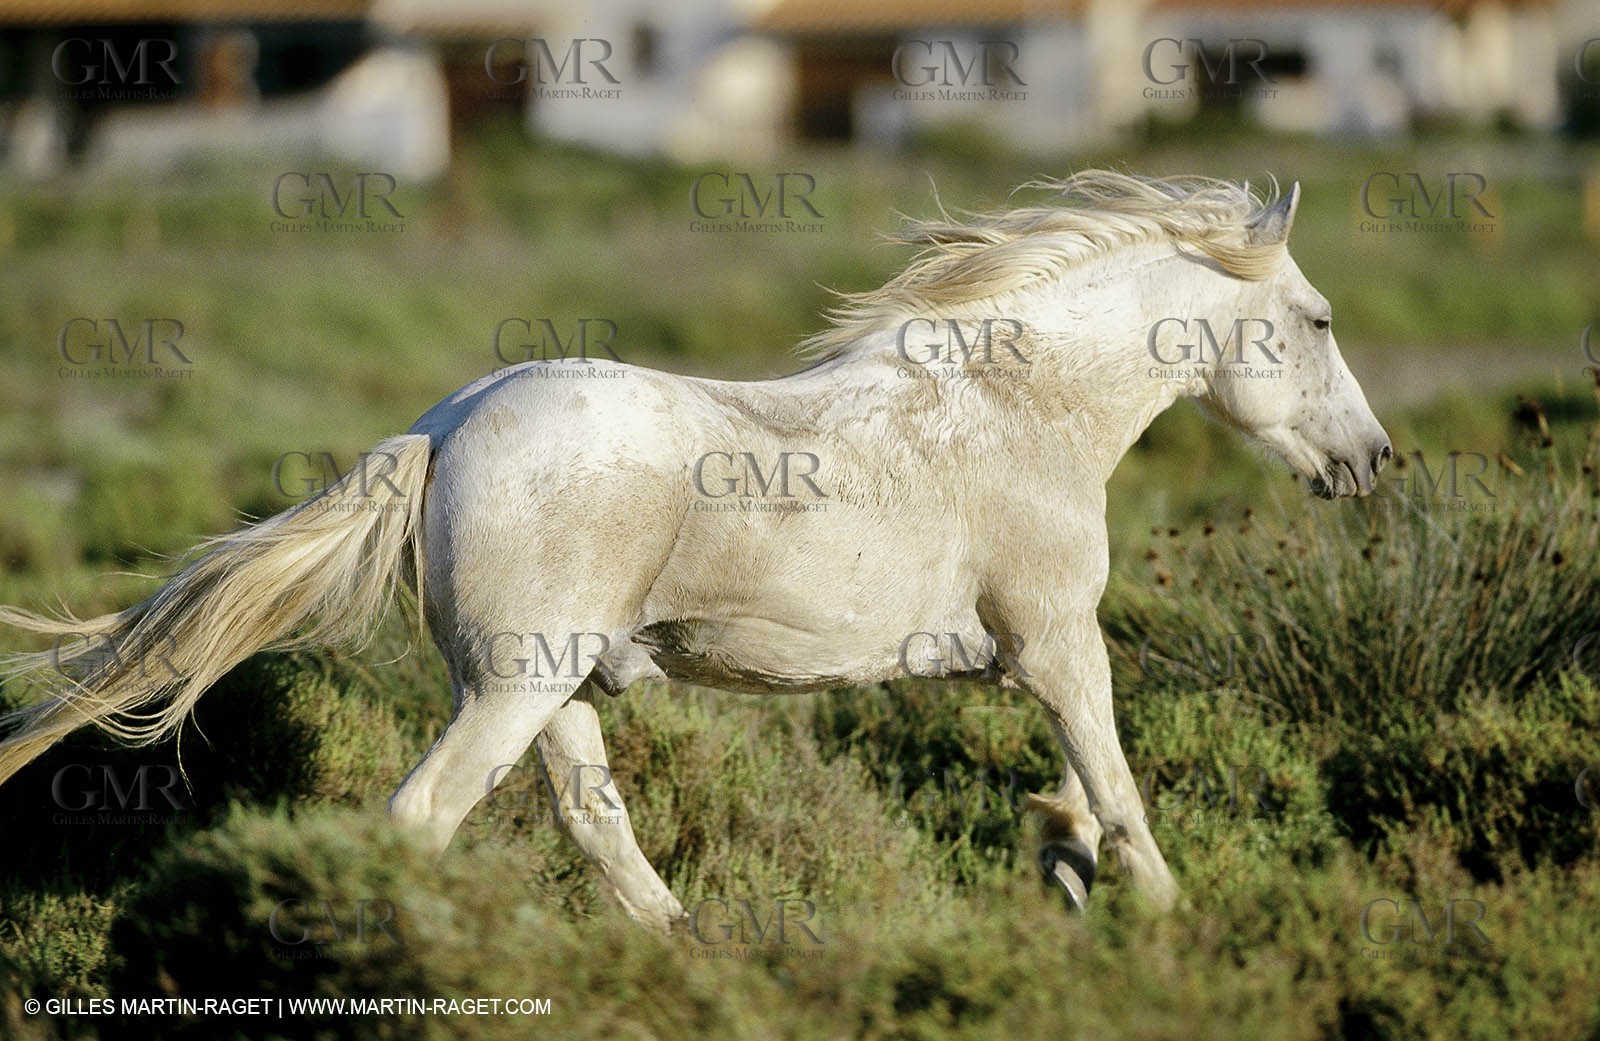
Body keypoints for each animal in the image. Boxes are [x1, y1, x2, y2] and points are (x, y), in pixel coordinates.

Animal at [0, 172, 1390, 930]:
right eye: (1320, 320)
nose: (1372, 461)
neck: (1018, 412)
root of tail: (445, 424)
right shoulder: (1055, 642)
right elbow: (1118, 787)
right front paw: (1161, 919)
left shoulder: (1020, 658)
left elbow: (1082, 793)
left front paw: (1063, 863)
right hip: (516, 685)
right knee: (426, 816)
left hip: (551, 686)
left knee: (593, 823)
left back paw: (685, 943)